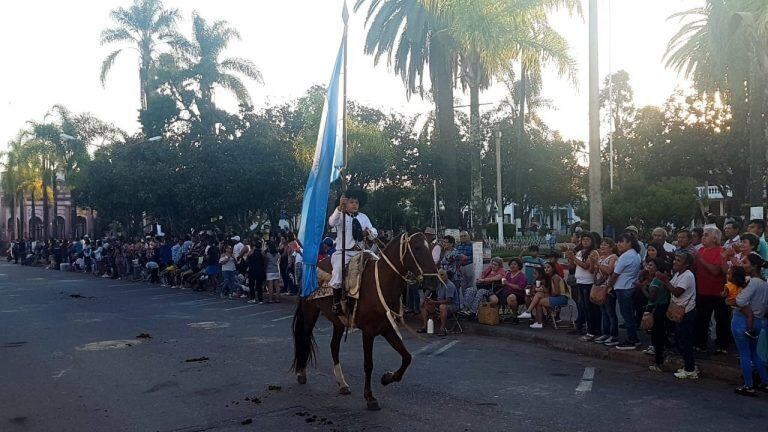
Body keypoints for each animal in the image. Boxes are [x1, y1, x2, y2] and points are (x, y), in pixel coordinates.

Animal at [292, 233, 438, 408]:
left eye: (431, 246)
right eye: (417, 247)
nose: (433, 281)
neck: (380, 283)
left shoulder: (387, 329)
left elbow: (407, 357)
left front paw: (387, 378)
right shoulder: (368, 332)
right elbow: (368, 364)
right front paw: (369, 397)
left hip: (338, 322)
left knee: (334, 346)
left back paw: (342, 384)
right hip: (310, 313)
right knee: (304, 338)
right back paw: (301, 372)